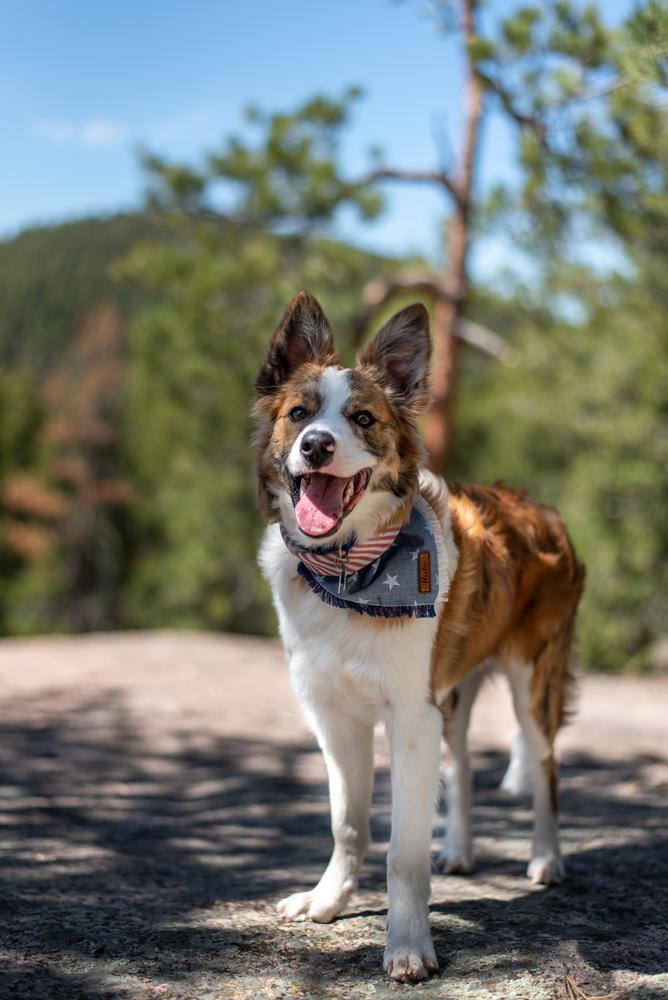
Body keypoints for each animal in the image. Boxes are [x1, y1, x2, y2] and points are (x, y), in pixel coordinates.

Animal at [256, 292, 584, 984]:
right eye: (299, 414)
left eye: (362, 419)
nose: (316, 445)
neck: (349, 570)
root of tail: (539, 508)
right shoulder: (336, 717)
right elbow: (348, 824)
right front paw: (327, 901)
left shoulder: (410, 716)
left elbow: (401, 852)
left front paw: (407, 947)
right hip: (453, 692)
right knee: (459, 763)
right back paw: (458, 850)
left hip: (533, 681)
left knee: (545, 764)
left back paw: (546, 858)